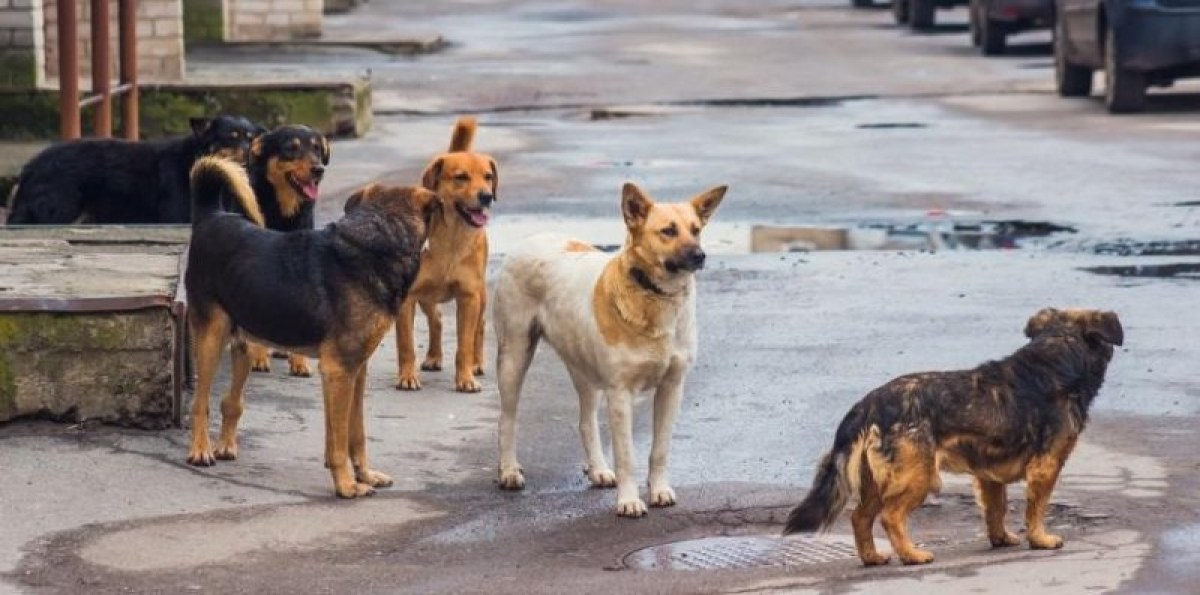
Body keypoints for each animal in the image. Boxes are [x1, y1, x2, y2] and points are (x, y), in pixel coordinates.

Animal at [6, 115, 260, 225]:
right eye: (232, 137)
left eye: (250, 138)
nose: (249, 153)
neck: (195, 159)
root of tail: (30, 167)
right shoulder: (176, 217)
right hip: (59, 211)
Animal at [182, 157, 436, 496]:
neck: (378, 240)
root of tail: (211, 216)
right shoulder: (339, 370)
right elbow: (339, 441)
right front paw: (346, 485)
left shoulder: (355, 371)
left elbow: (354, 433)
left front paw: (365, 475)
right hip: (211, 337)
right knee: (200, 403)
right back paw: (200, 450)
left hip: (245, 343)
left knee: (230, 401)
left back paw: (225, 445)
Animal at [492, 179, 724, 515]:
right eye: (668, 231)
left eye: (696, 230)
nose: (700, 255)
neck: (654, 295)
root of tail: (531, 238)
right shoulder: (620, 394)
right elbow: (627, 456)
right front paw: (629, 500)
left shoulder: (672, 388)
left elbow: (660, 450)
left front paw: (659, 490)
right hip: (514, 356)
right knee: (507, 419)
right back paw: (509, 470)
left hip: (584, 371)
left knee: (586, 422)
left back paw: (598, 469)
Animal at [787, 309, 1123, 563]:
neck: (1056, 353)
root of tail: (869, 403)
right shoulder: (1046, 466)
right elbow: (1036, 508)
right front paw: (1040, 538)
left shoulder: (989, 475)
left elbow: (996, 509)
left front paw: (1001, 538)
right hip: (918, 476)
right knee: (890, 516)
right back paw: (912, 555)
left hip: (875, 480)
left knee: (860, 518)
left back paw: (872, 557)